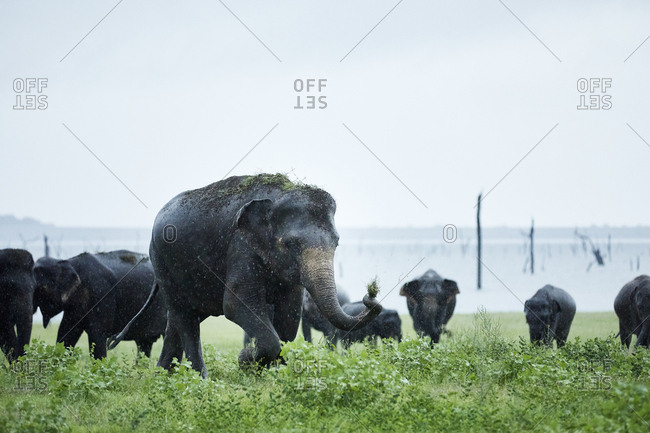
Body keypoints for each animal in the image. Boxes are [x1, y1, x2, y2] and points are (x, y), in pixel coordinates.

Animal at [32, 250, 166, 358]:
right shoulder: (75, 305)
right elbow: (66, 333)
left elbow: (97, 336)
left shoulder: (100, 294)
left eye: (39, 288)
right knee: (144, 344)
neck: (69, 262)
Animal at [135, 174, 381, 377]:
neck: (278, 196)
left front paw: (265, 370)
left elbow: (289, 314)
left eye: (336, 242)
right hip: (162, 262)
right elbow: (235, 304)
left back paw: (162, 376)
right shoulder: (241, 244)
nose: (370, 294)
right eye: (291, 244)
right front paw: (246, 359)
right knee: (185, 317)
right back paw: (200, 380)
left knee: (178, 319)